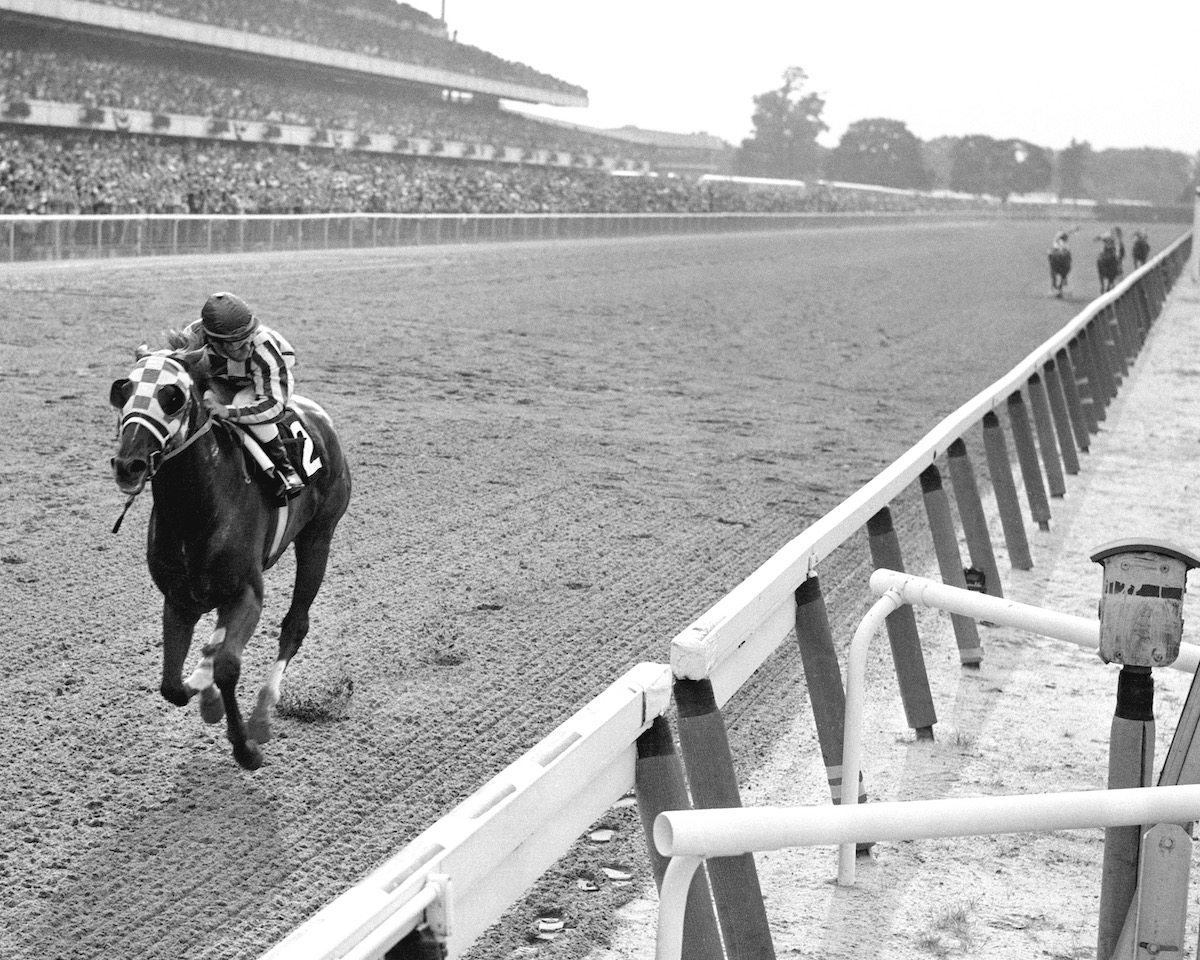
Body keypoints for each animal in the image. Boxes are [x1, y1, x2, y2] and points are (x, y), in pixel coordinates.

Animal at [108, 340, 352, 768]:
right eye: (124, 390)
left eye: (173, 397)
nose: (129, 465)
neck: (196, 510)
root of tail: (320, 416)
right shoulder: (179, 599)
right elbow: (172, 685)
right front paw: (205, 695)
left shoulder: (247, 592)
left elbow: (227, 666)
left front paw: (246, 747)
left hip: (318, 538)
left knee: (295, 625)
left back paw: (263, 715)